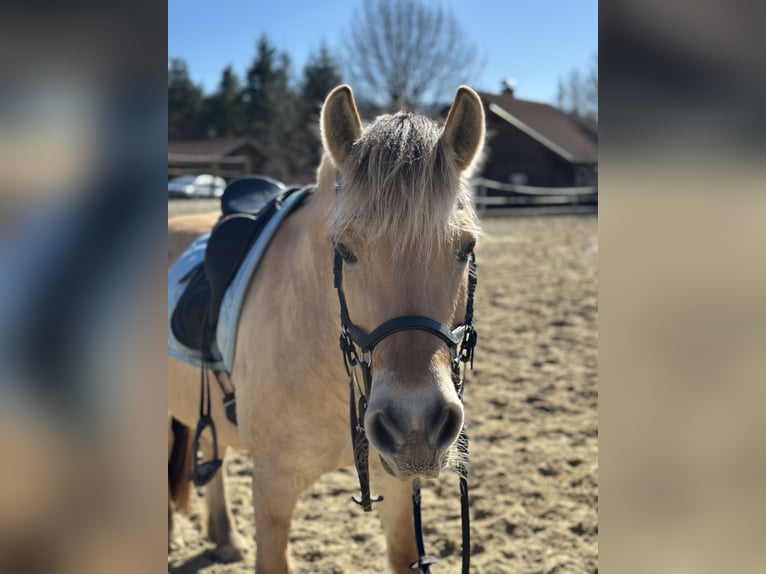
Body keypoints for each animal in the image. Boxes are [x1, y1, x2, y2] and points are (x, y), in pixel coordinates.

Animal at [168, 84, 485, 573]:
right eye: (345, 250)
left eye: (465, 248)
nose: (415, 427)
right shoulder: (272, 485)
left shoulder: (397, 486)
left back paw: (225, 537)